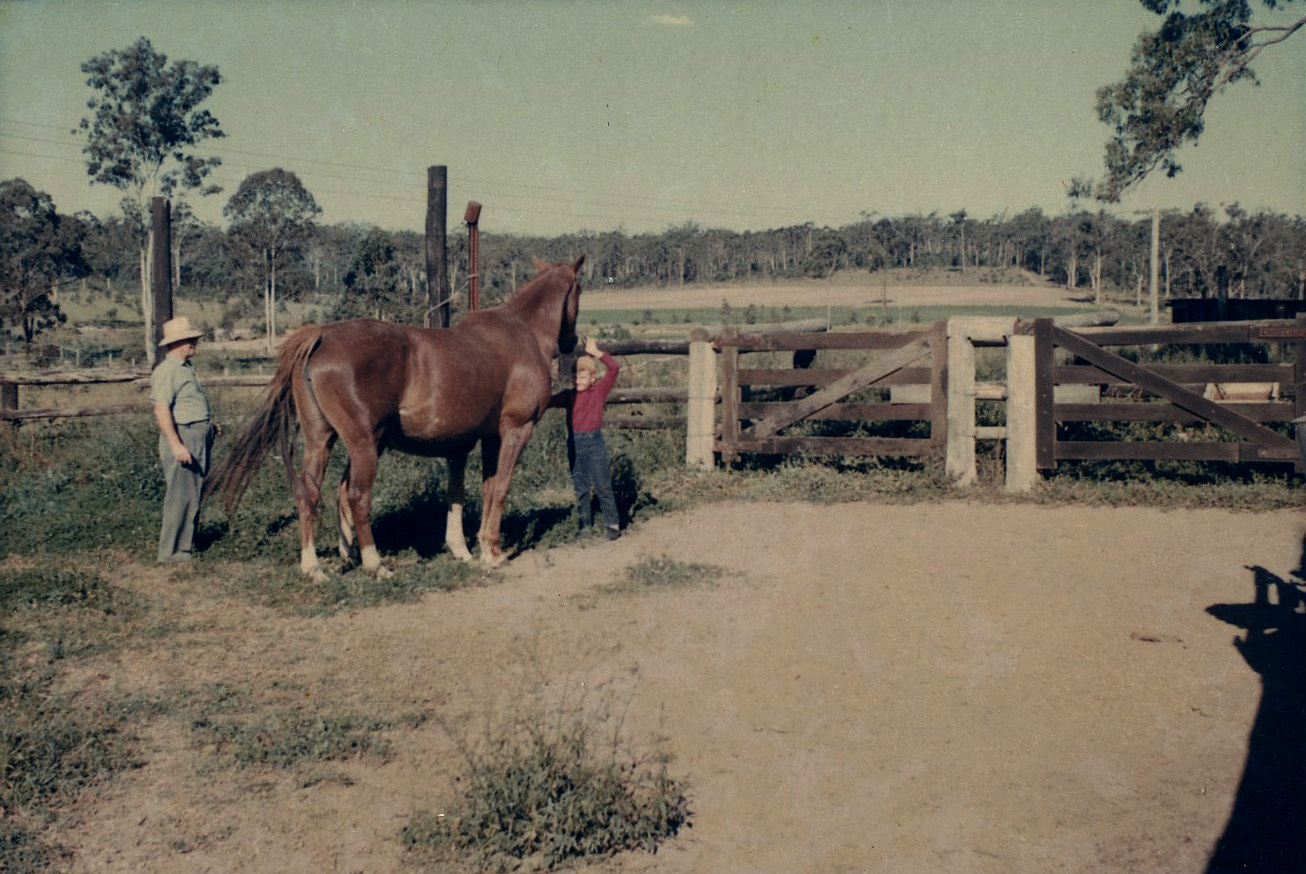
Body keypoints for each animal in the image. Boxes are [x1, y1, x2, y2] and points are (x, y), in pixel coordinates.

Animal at [206, 255, 585, 580]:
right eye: (579, 290)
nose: (572, 342)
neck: (523, 333)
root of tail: (322, 336)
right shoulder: (516, 431)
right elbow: (501, 488)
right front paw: (492, 552)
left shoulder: (485, 438)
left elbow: (479, 489)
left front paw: (471, 548)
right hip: (364, 445)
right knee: (356, 496)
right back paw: (374, 563)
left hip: (320, 441)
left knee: (309, 494)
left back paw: (316, 567)